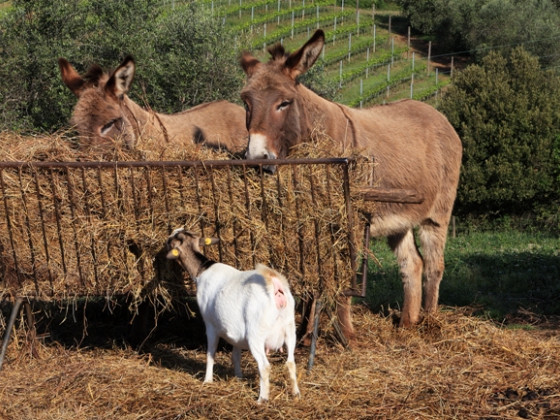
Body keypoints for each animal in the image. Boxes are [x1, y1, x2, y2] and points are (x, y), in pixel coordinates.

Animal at [165, 230, 300, 404]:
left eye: (171, 240)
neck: (203, 268)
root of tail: (275, 287)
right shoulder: (236, 331)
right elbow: (236, 355)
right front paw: (239, 377)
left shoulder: (210, 324)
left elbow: (211, 353)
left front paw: (207, 380)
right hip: (290, 329)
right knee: (290, 363)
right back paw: (296, 393)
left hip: (256, 334)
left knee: (264, 366)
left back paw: (262, 399)